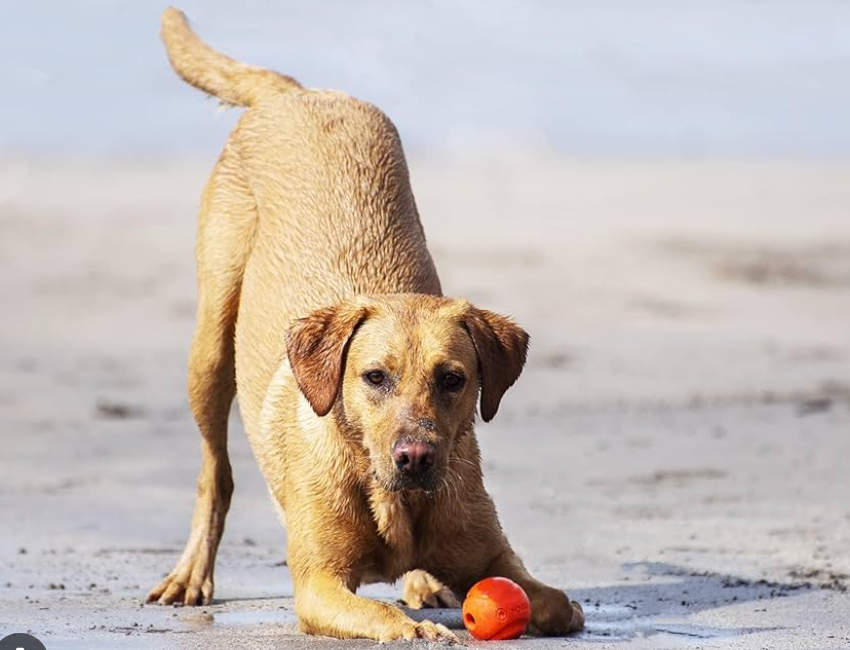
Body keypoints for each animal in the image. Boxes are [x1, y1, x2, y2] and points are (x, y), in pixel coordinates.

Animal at [147, 7, 584, 640]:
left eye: (453, 380)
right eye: (374, 377)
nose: (416, 457)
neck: (396, 500)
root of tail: (298, 93)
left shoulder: (493, 552)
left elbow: (554, 602)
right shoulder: (319, 583)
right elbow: (375, 610)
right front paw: (414, 628)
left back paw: (422, 581)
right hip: (208, 346)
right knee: (215, 474)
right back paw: (190, 574)